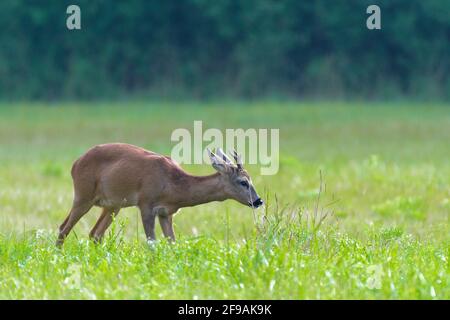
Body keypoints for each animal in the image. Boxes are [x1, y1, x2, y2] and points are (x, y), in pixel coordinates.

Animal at [58, 144, 266, 246]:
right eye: (243, 181)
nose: (258, 201)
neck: (173, 185)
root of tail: (75, 164)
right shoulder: (145, 204)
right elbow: (152, 242)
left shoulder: (166, 212)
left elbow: (172, 242)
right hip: (83, 195)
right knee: (63, 228)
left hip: (112, 205)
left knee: (95, 234)